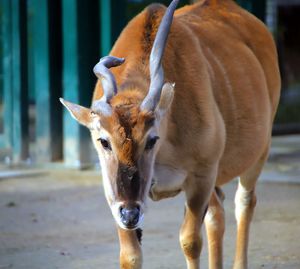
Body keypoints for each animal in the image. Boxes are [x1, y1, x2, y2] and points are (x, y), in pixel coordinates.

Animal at [59, 0, 280, 268]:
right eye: (104, 142)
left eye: (152, 139)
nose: (130, 214)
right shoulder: (114, 195)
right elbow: (130, 255)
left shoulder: (201, 179)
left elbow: (190, 242)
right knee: (218, 214)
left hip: (259, 152)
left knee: (244, 203)